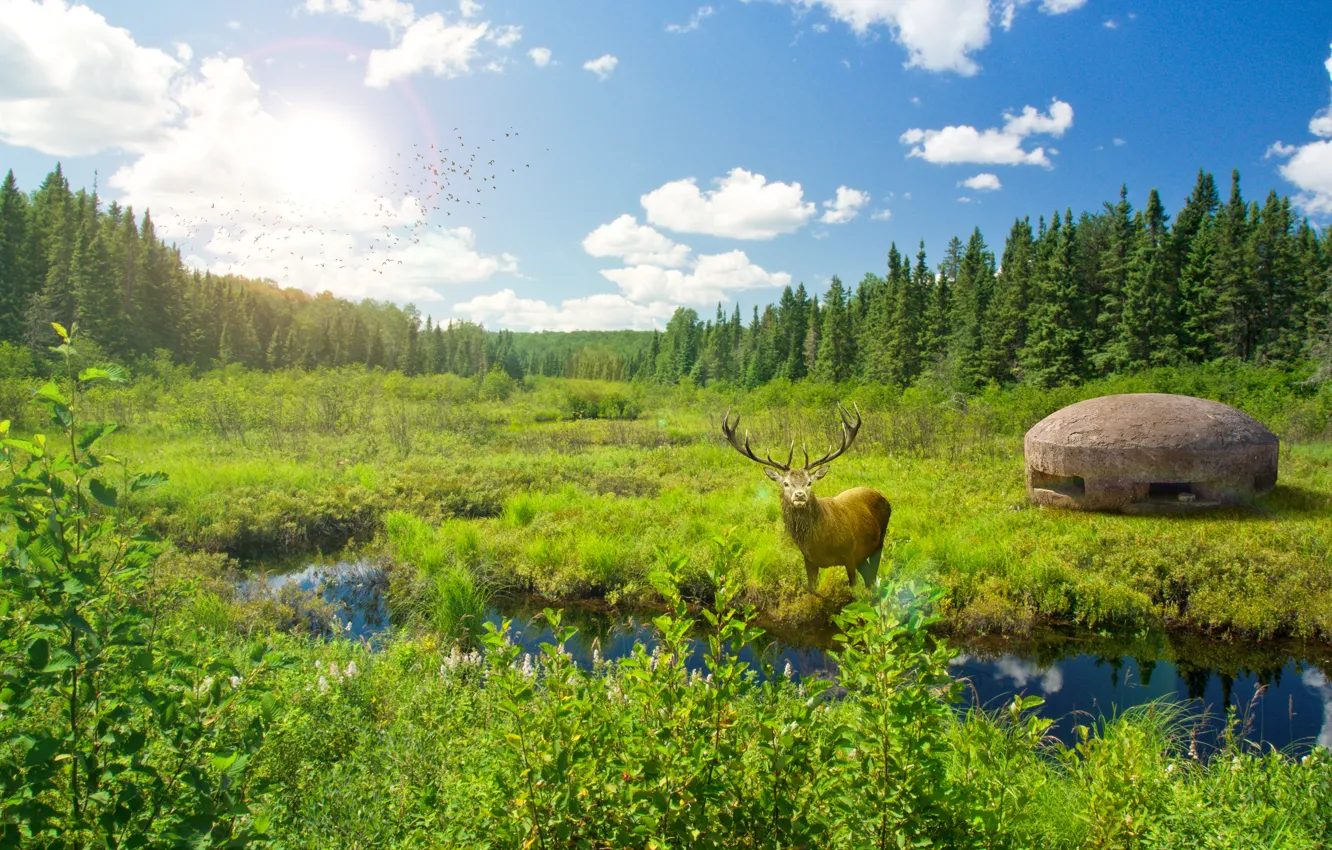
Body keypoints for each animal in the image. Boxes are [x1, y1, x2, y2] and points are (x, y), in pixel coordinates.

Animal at [724, 405, 889, 591]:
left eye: (809, 482)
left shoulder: (850, 554)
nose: (800, 495)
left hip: (879, 542)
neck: (819, 542)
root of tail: (882, 496)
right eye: (786, 483)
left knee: (873, 575)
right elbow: (811, 589)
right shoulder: (809, 559)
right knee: (869, 577)